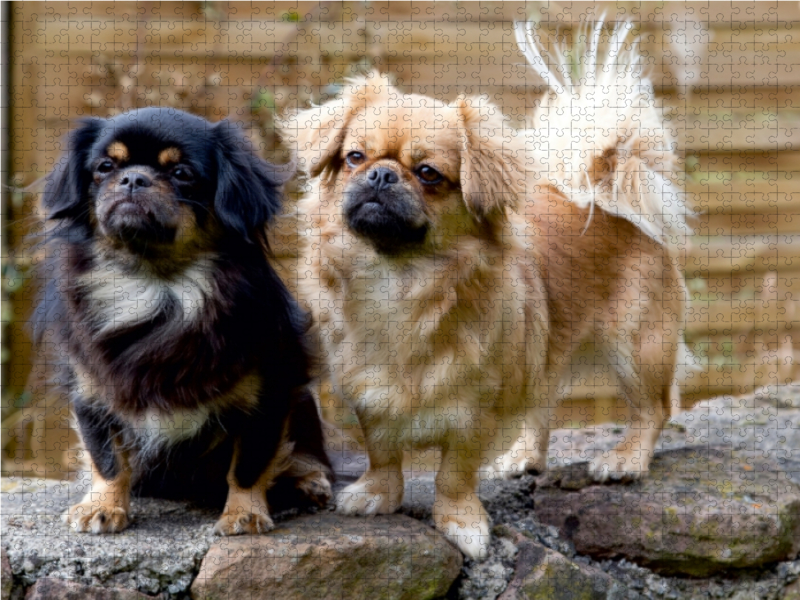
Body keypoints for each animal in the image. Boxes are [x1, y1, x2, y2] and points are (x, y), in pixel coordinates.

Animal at [36, 108, 332, 536]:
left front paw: (243, 513)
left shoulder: (270, 392)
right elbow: (106, 456)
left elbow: (249, 462)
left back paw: (309, 483)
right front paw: (102, 506)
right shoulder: (91, 391)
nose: (133, 178)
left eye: (181, 174)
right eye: (105, 167)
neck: (156, 284)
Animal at [284, 22, 692, 556]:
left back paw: (624, 460)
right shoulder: (369, 389)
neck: (402, 278)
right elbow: (383, 450)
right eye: (355, 157)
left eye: (428, 174)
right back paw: (525, 456)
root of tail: (602, 196)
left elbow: (454, 473)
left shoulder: (476, 408)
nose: (381, 173)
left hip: (637, 345)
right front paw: (378, 493)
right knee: (543, 406)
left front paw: (461, 523)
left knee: (653, 408)